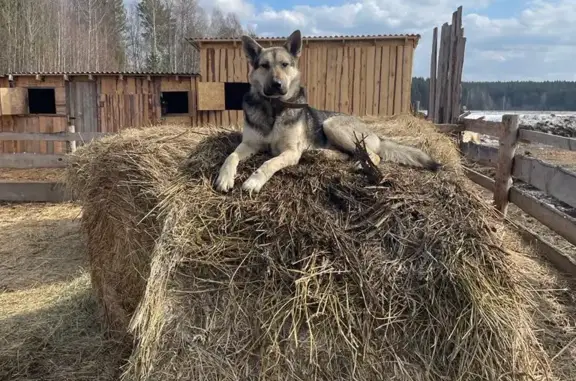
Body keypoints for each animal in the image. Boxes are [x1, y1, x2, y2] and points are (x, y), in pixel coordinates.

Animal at [216, 29, 440, 193]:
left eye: (285, 64)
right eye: (264, 65)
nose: (277, 85)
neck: (274, 107)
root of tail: (376, 133)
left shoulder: (290, 152)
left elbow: (269, 162)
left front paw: (254, 181)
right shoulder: (249, 144)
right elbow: (231, 156)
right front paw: (224, 177)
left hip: (331, 124)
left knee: (372, 155)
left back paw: (362, 164)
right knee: (348, 154)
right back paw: (323, 153)